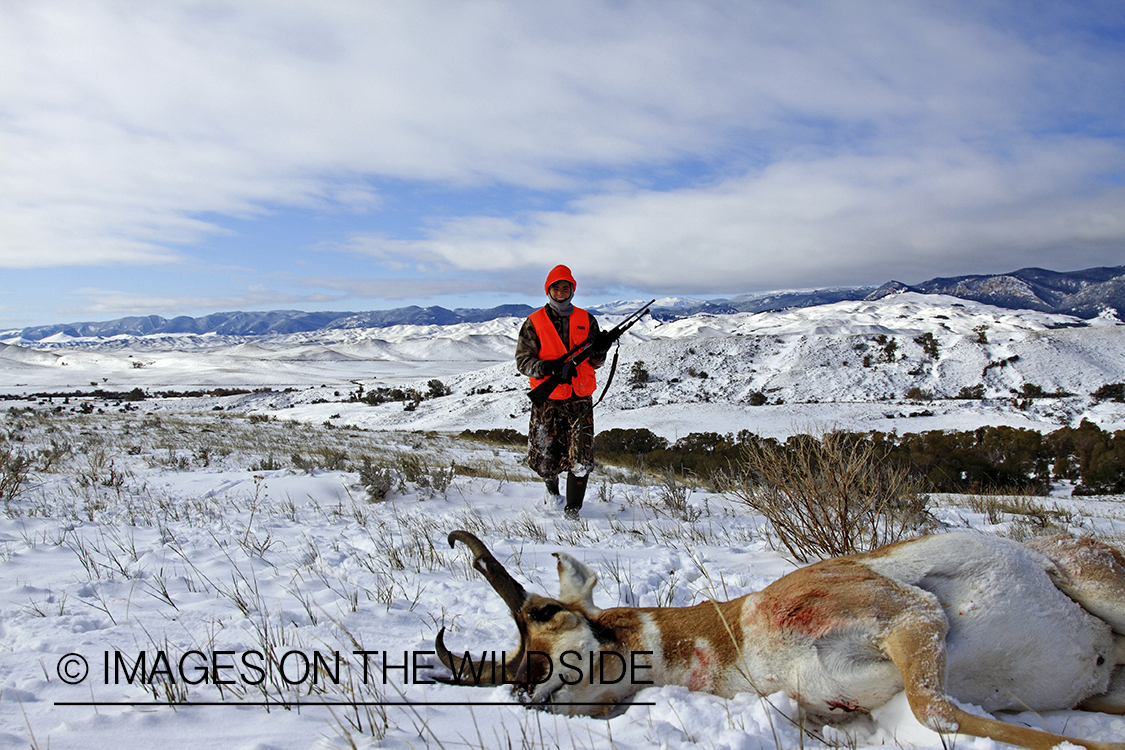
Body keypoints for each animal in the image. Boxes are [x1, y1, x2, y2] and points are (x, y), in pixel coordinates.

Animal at [434, 530, 1125, 746]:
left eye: (546, 611)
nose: (522, 690)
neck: (738, 632)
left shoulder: (915, 615)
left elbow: (939, 712)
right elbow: (940, 713)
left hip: (1103, 585)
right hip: (1102, 687)